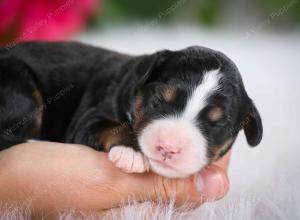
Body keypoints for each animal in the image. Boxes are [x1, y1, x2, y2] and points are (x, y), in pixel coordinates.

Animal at [0, 42, 262, 178]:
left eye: (216, 124)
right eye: (158, 100)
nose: (168, 148)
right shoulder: (88, 117)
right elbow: (111, 127)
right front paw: (132, 152)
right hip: (18, 85)